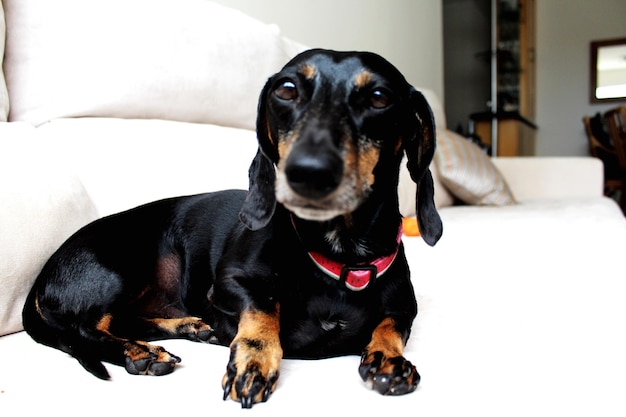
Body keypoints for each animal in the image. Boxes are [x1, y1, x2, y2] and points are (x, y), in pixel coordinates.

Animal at [23, 48, 438, 406]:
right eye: (286, 89)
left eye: (380, 97)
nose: (308, 173)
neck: (337, 255)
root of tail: (43, 274)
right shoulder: (228, 283)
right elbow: (263, 306)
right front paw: (254, 361)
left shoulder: (405, 307)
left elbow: (390, 325)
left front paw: (388, 358)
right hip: (120, 267)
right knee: (85, 330)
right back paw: (139, 353)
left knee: (126, 322)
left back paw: (187, 328)